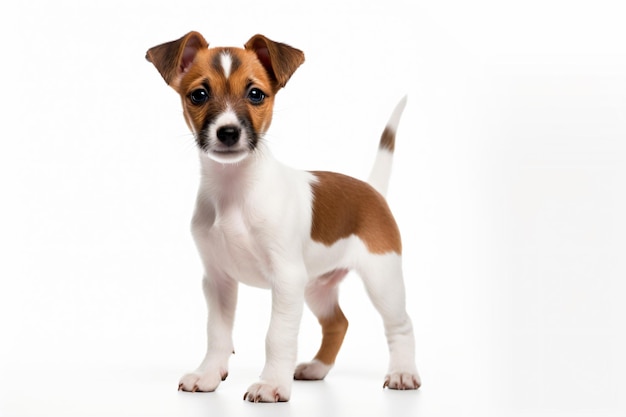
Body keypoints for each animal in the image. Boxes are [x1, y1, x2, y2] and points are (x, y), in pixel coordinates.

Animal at [146, 30, 420, 402]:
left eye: (256, 94)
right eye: (199, 95)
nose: (228, 132)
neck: (235, 191)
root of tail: (371, 188)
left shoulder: (287, 279)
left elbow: (277, 335)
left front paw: (272, 383)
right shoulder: (218, 280)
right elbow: (217, 334)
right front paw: (208, 375)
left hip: (382, 278)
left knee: (400, 324)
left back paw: (403, 372)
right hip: (317, 287)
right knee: (338, 323)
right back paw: (317, 368)